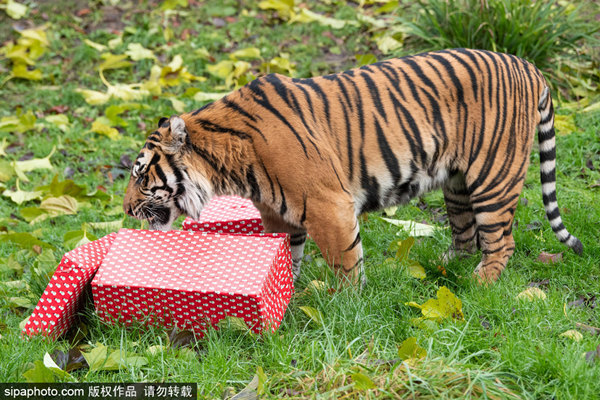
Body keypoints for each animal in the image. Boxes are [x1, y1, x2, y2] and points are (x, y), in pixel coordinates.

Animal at [123, 47, 580, 288]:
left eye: (141, 176)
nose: (125, 210)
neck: (226, 164)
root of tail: (528, 66)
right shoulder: (278, 214)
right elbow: (287, 255)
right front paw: (289, 292)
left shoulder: (329, 206)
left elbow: (345, 262)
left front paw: (347, 305)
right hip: (457, 182)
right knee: (467, 238)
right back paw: (439, 268)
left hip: (493, 178)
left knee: (501, 242)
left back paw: (477, 285)